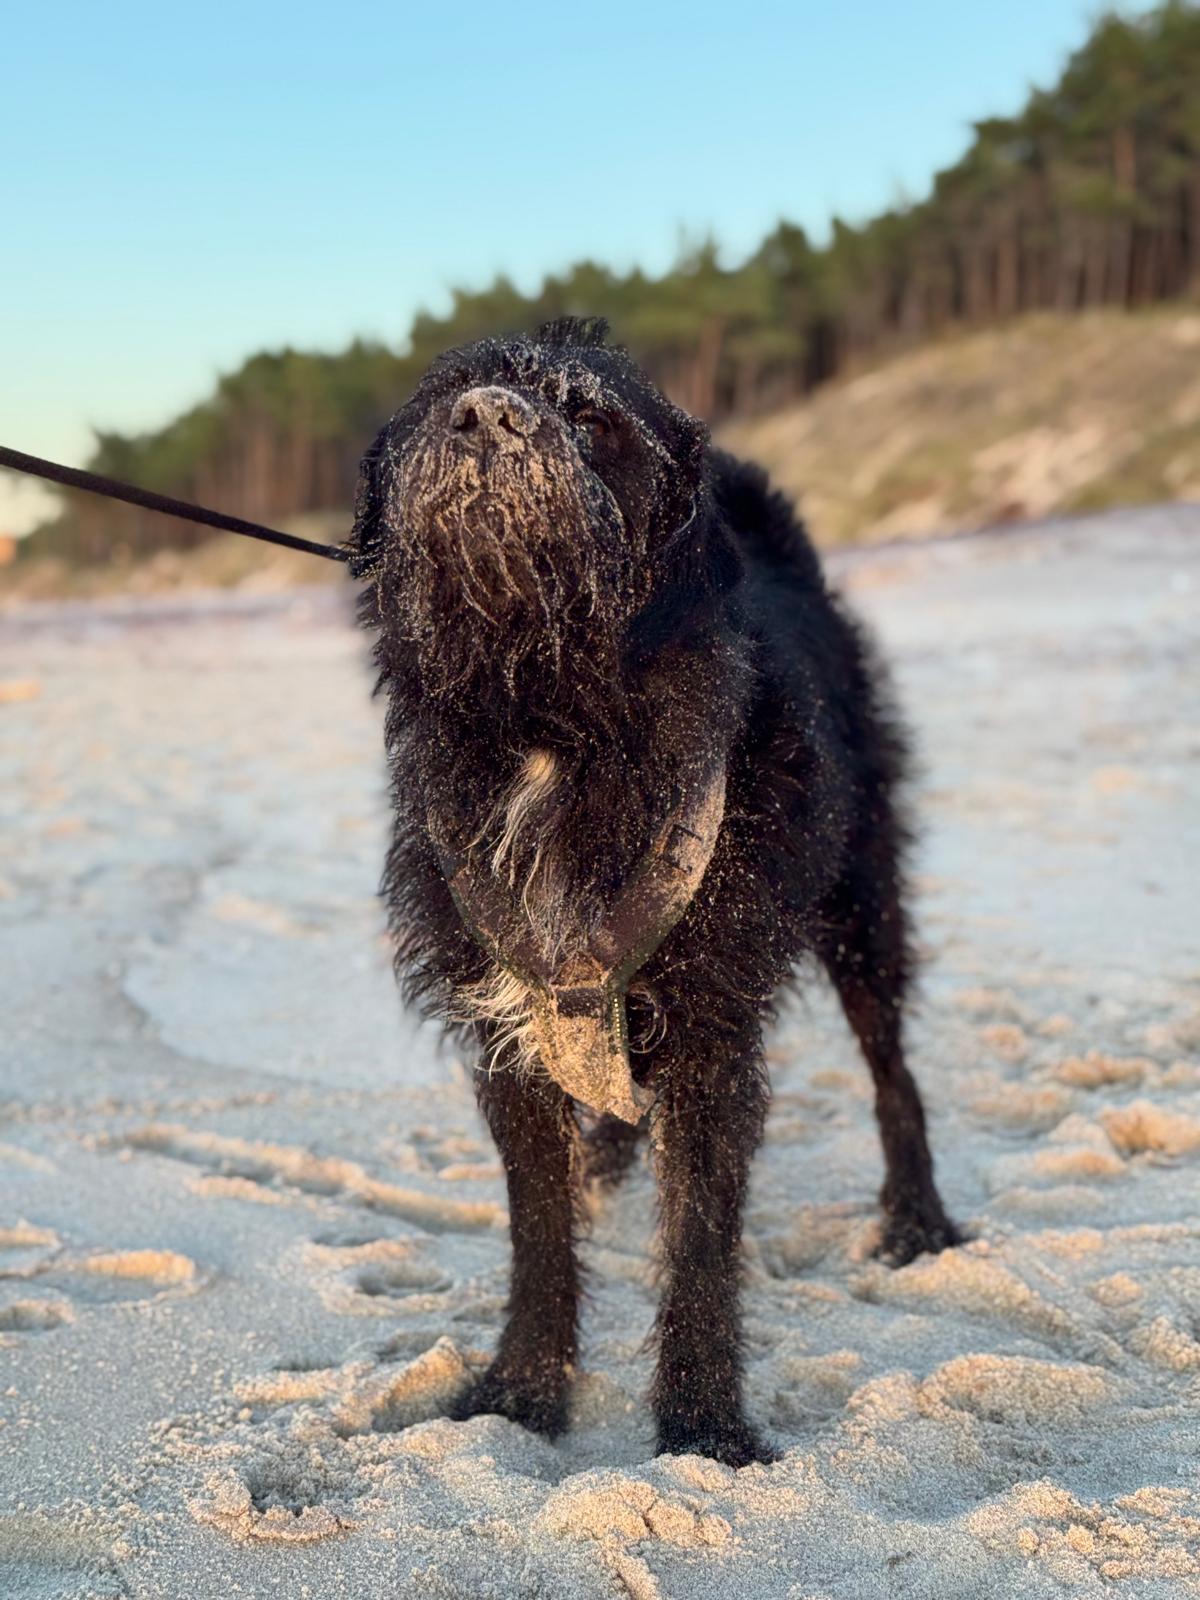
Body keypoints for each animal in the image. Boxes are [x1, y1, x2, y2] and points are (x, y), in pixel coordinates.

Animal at [350, 315, 959, 1467]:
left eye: (593, 418)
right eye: (447, 392)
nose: (487, 415)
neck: (546, 715)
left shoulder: (715, 1030)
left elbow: (704, 1243)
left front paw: (704, 1426)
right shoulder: (508, 1032)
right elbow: (539, 1230)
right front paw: (522, 1389)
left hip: (863, 906)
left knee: (892, 1068)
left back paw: (916, 1219)